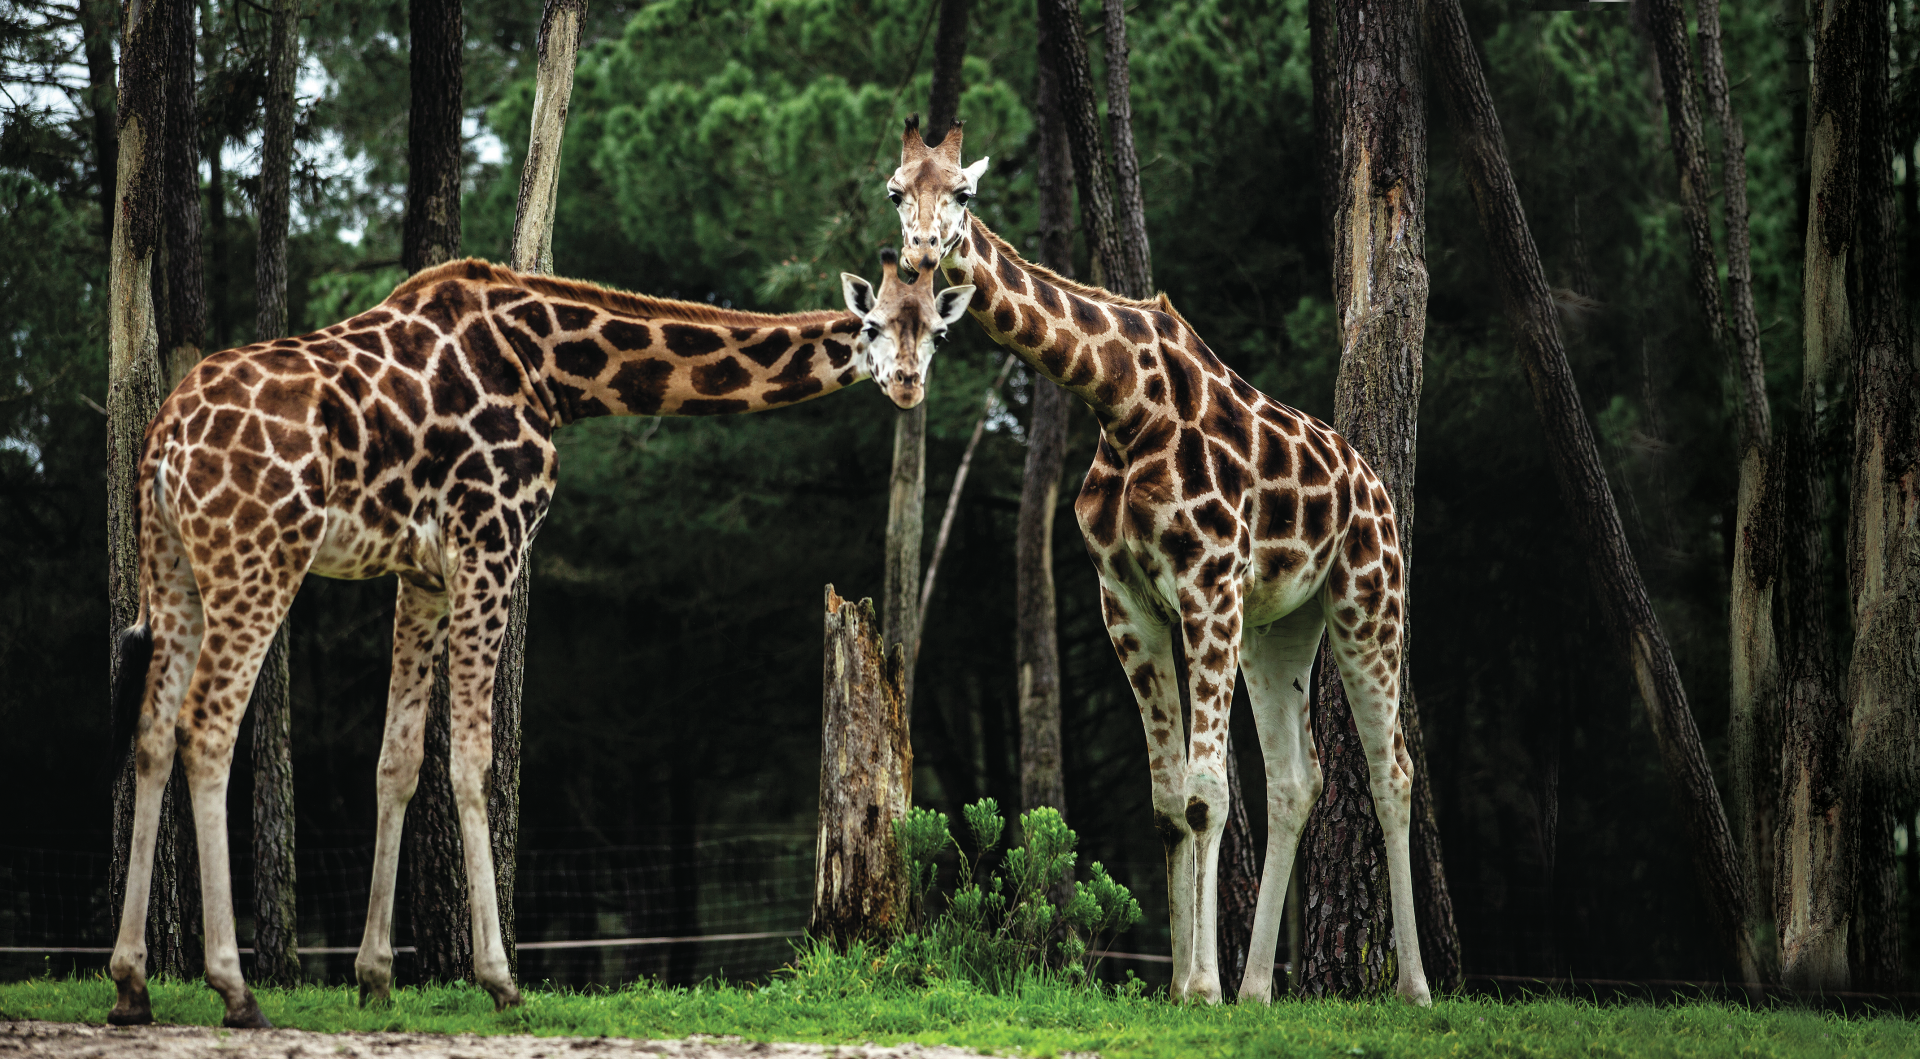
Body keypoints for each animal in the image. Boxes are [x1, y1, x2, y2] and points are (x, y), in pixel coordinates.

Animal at [101, 249, 975, 1028]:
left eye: (935, 330)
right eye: (869, 325)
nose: (906, 382)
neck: (553, 368)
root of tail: (162, 444)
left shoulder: (421, 570)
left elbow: (397, 761)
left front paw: (375, 976)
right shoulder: (492, 536)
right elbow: (472, 758)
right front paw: (500, 979)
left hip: (173, 566)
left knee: (150, 731)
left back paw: (131, 982)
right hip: (258, 554)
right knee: (207, 727)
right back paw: (234, 986)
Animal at [883, 119, 1428, 1005]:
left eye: (962, 191)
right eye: (896, 191)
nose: (922, 253)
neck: (1118, 400)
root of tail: (1374, 483)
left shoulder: (1206, 583)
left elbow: (1206, 795)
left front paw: (1200, 987)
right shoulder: (1127, 600)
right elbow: (1171, 800)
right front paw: (1186, 985)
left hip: (1369, 599)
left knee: (1393, 770)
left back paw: (1413, 987)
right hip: (1278, 627)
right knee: (1296, 778)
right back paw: (1258, 988)